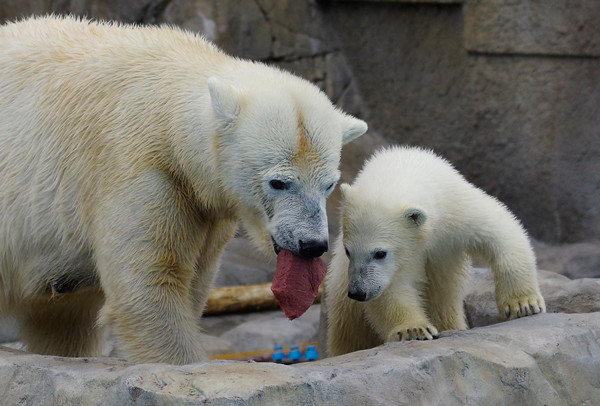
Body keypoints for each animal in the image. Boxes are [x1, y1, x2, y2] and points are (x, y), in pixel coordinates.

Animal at [0, 15, 366, 364]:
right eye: (278, 182)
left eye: (329, 184)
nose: (312, 244)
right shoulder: (140, 168)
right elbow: (151, 279)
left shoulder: (206, 201)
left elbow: (195, 278)